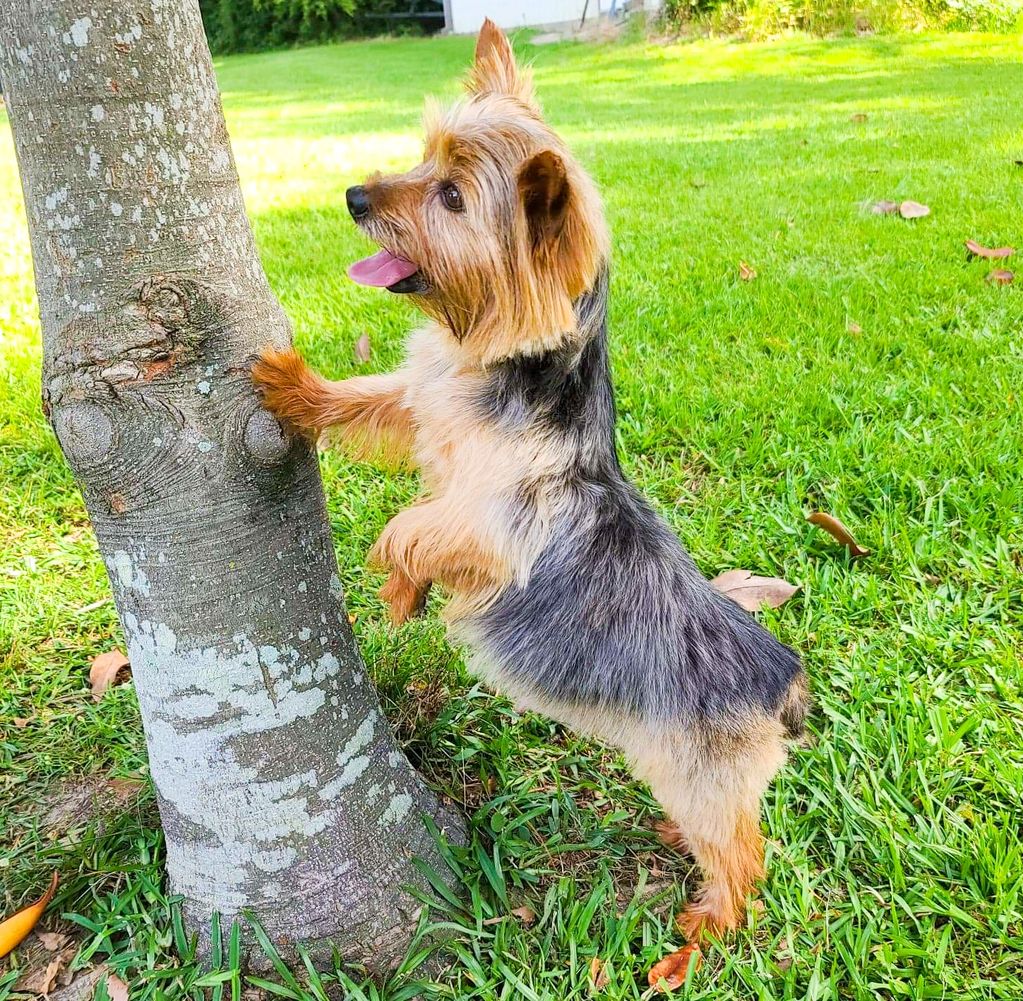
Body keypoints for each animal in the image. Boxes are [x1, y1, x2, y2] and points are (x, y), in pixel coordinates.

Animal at [251, 21, 810, 945]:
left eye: (450, 197)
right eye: (421, 158)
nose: (355, 194)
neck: (502, 367)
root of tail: (780, 680)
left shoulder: (491, 524)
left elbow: (408, 528)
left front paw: (399, 592)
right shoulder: (422, 402)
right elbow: (365, 403)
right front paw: (293, 385)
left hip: (697, 772)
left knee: (741, 853)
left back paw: (700, 933)